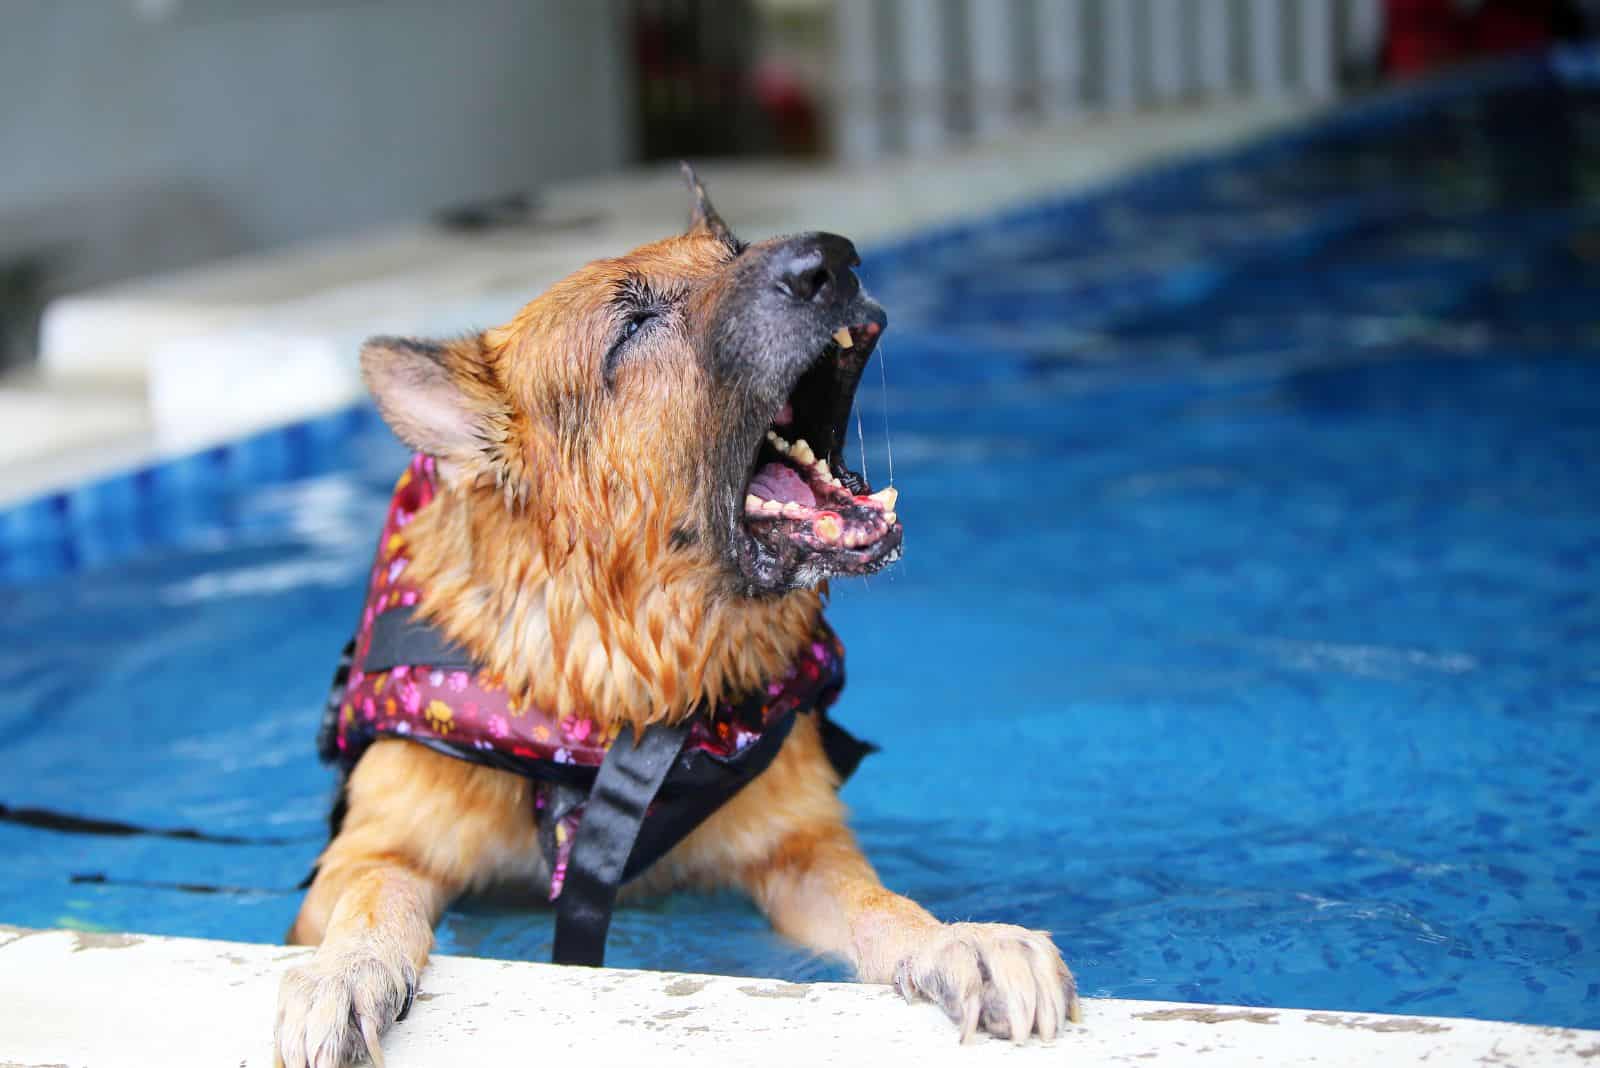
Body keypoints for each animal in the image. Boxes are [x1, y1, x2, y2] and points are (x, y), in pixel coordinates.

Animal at [275, 168, 1075, 1068]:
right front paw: (345, 969)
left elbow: (879, 905)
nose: (833, 259)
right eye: (633, 327)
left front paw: (952, 939)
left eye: (734, 251)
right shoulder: (373, 850)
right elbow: (368, 901)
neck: (624, 678)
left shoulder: (798, 849)